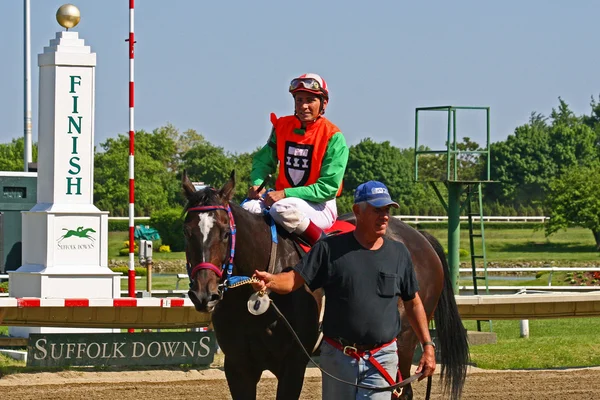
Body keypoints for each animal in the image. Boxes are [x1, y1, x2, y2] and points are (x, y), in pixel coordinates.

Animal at [183, 171, 468, 400]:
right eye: (187, 231)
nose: (203, 294)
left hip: (405, 339)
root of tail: (420, 236)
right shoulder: (238, 367)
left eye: (224, 232)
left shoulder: (293, 365)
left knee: (401, 390)